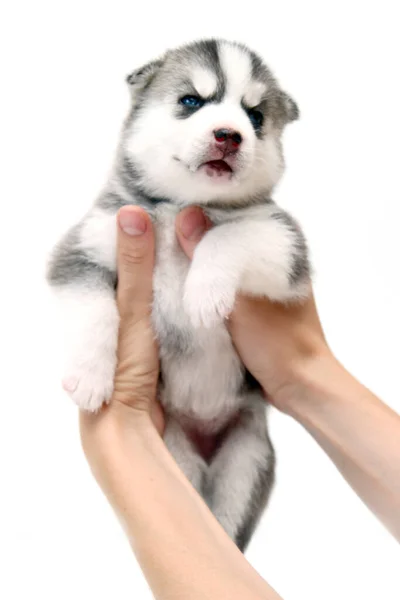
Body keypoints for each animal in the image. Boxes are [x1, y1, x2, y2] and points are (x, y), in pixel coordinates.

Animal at [47, 39, 310, 552]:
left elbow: (226, 236)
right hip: (175, 456)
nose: (230, 135)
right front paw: (89, 376)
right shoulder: (82, 250)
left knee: (226, 529)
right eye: (191, 101)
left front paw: (203, 293)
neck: (182, 206)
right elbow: (93, 312)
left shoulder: (285, 245)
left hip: (247, 459)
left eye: (255, 116)